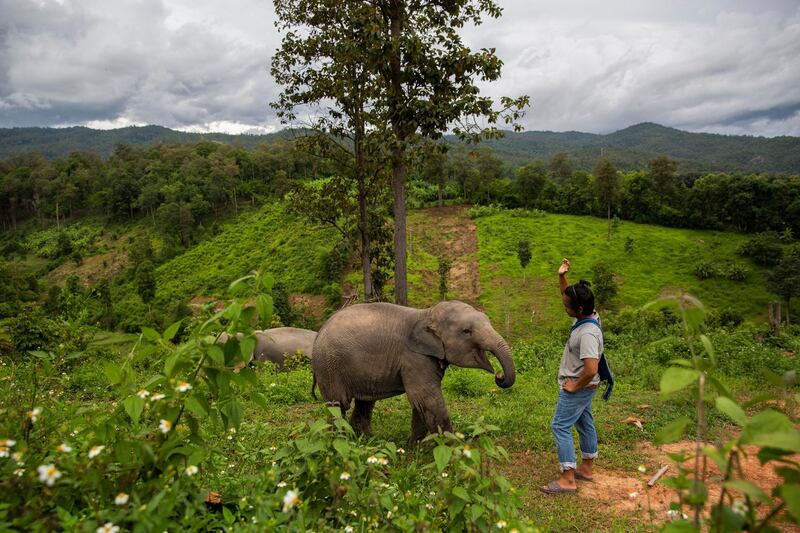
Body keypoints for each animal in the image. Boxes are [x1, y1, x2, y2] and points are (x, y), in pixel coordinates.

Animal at [310, 300, 516, 440]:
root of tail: (318, 334)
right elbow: (426, 398)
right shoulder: (414, 357)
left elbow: (421, 403)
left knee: (365, 403)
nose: (499, 375)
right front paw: (453, 452)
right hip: (330, 366)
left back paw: (367, 442)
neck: (427, 314)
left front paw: (415, 449)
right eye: (467, 331)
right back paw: (340, 443)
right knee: (338, 405)